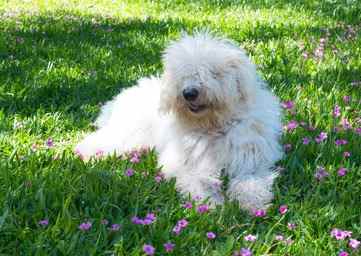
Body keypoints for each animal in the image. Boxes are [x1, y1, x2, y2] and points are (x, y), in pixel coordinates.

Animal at [76, 32, 282, 211]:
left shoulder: (251, 162)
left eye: (213, 72)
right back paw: (85, 151)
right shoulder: (185, 163)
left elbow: (250, 181)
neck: (212, 127)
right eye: (184, 74)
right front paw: (211, 205)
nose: (189, 93)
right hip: (126, 135)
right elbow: (197, 180)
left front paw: (252, 203)